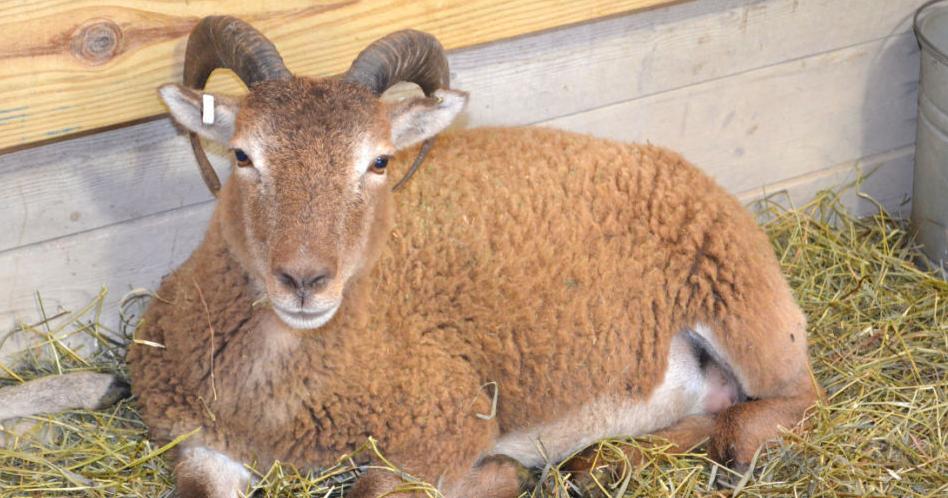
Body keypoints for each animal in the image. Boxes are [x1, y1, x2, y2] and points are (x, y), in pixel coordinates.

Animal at [6, 15, 820, 498]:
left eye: (378, 162)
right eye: (242, 155)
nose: (305, 280)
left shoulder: (440, 427)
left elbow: (380, 487)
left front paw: (497, 473)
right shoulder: (196, 438)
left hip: (748, 308)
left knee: (790, 401)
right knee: (712, 407)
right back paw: (599, 461)